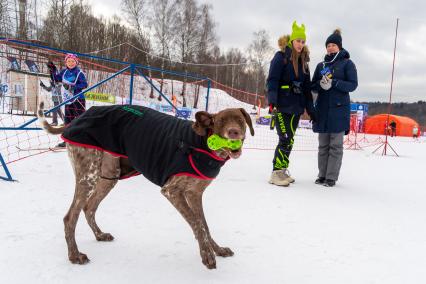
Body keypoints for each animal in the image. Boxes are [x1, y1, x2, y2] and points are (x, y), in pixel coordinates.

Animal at [37, 103, 253, 270]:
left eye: (240, 121)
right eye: (221, 122)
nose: (234, 132)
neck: (201, 144)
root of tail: (78, 118)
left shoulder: (194, 194)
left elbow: (204, 226)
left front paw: (217, 249)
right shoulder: (172, 191)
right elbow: (198, 225)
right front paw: (207, 255)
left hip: (109, 177)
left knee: (89, 208)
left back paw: (99, 235)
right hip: (88, 176)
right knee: (70, 217)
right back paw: (74, 255)